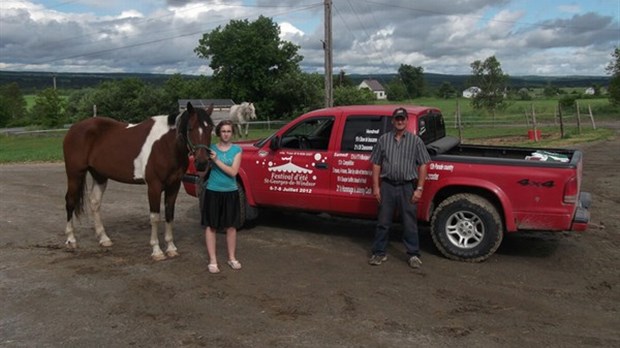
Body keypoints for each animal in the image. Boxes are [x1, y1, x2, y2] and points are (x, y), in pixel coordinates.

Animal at [63, 102, 213, 260]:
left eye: (210, 128)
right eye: (190, 128)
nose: (202, 163)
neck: (165, 145)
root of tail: (74, 129)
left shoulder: (174, 185)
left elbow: (169, 215)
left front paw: (171, 248)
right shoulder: (154, 186)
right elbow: (155, 217)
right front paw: (157, 251)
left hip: (99, 176)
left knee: (95, 202)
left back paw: (104, 239)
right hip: (75, 174)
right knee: (70, 201)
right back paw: (71, 240)